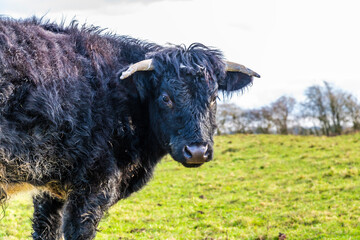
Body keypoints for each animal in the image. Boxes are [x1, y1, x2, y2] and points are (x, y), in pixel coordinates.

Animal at [0, 15, 258, 239]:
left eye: (214, 97)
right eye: (165, 98)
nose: (196, 151)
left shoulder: (50, 189)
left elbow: (45, 228)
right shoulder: (94, 184)